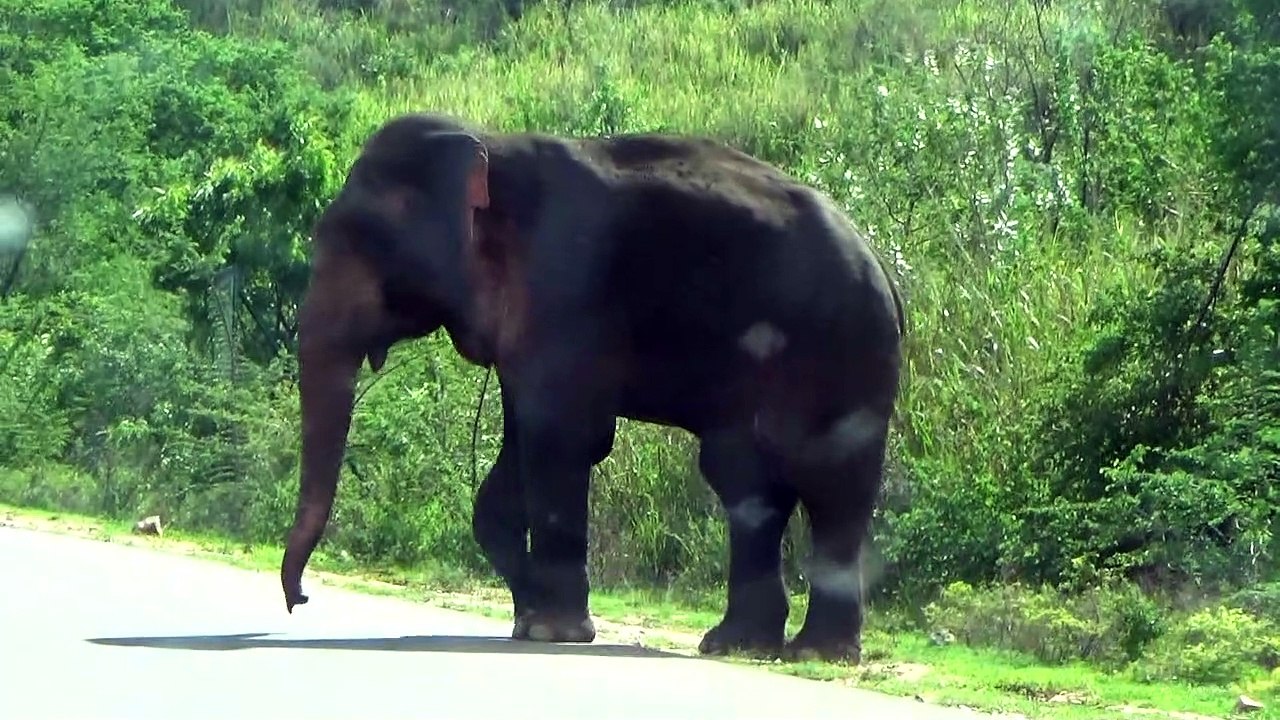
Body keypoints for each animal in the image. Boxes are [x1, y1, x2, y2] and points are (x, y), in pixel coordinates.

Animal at [280, 111, 906, 663]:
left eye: (356, 238)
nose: (300, 599)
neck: (489, 142)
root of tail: (882, 263)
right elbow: (522, 447)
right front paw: (531, 618)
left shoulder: (565, 287)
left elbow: (563, 438)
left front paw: (551, 632)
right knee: (744, 479)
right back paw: (738, 645)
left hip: (843, 351)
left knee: (831, 484)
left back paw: (816, 654)